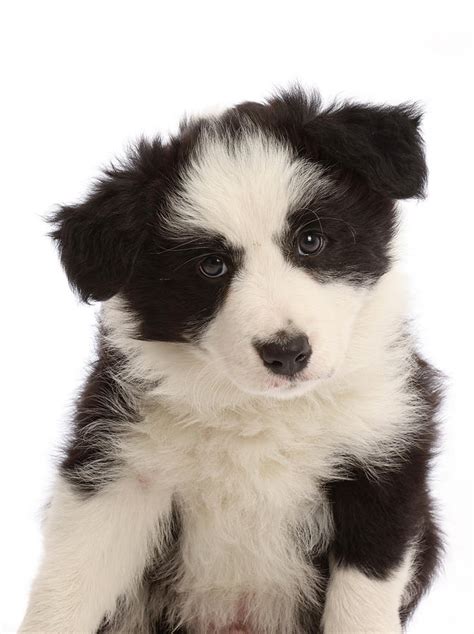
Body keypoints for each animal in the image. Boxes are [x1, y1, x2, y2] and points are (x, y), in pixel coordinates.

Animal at [20, 90, 442, 632]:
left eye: (311, 241)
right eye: (212, 266)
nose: (287, 353)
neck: (260, 412)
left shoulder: (382, 463)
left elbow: (360, 606)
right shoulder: (120, 468)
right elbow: (68, 586)